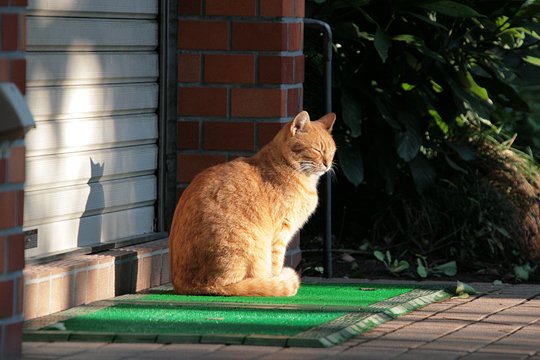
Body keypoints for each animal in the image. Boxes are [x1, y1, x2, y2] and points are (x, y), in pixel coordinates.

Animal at [171, 111, 336, 296]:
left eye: (332, 152)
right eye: (317, 149)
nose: (328, 164)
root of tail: (191, 286)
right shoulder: (280, 233)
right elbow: (276, 264)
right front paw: (275, 280)